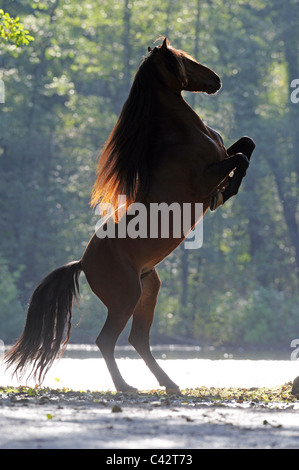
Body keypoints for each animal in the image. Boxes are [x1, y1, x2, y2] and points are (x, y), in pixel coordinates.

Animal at [5, 38, 255, 394]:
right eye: (183, 59)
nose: (216, 80)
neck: (183, 136)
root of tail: (82, 263)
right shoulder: (203, 177)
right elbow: (239, 158)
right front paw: (225, 192)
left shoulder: (222, 155)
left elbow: (246, 144)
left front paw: (227, 189)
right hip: (126, 298)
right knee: (107, 341)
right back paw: (126, 386)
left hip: (148, 290)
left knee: (138, 340)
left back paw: (168, 383)